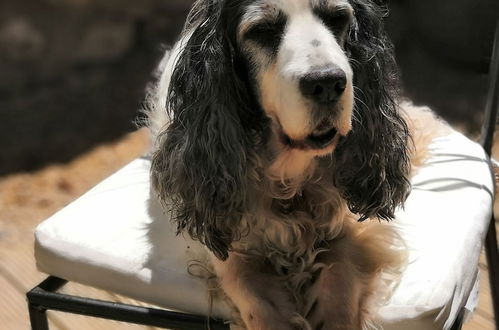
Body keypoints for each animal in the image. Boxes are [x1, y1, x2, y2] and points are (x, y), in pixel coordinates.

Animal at [146, 1, 454, 328]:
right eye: (262, 30)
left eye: (338, 18)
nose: (327, 83)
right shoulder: (230, 246)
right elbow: (251, 294)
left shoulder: (348, 230)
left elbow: (340, 282)